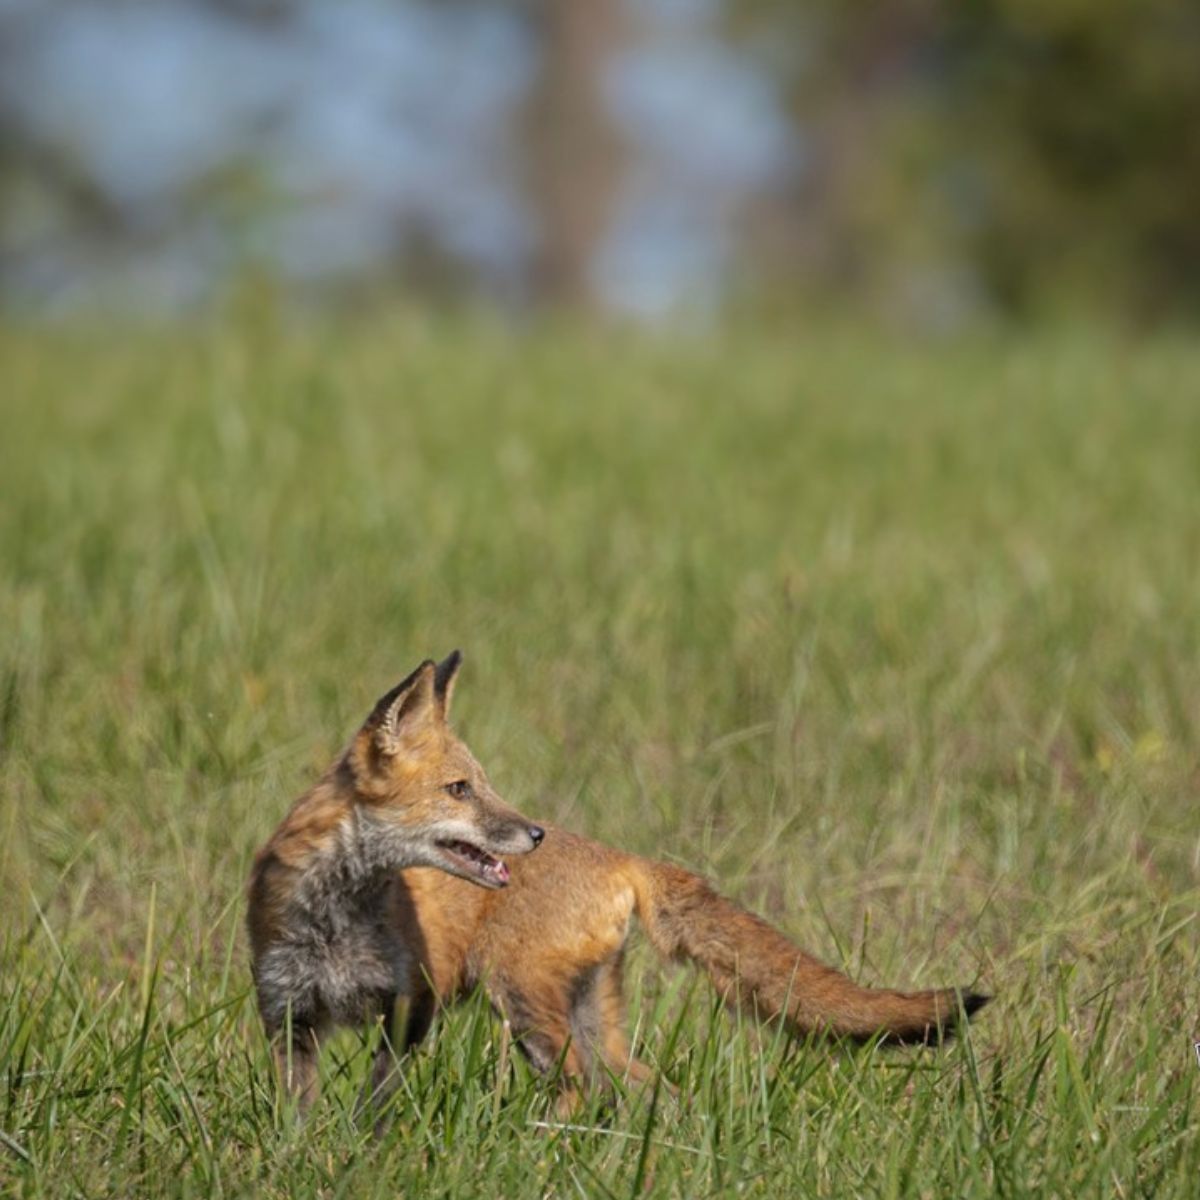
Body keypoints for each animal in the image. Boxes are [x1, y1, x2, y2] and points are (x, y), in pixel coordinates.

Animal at [247, 651, 988, 1115]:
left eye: (483, 784)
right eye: (459, 790)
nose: (534, 834)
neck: (334, 920)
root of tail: (621, 855)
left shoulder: (412, 1007)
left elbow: (371, 1112)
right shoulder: (290, 1018)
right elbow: (300, 1120)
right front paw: (308, 1161)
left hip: (527, 1006)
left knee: (578, 1091)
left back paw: (542, 1151)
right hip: (588, 1023)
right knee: (652, 1093)